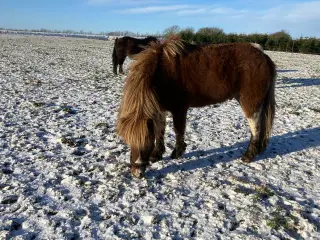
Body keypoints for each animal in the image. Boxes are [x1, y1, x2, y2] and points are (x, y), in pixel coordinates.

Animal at [116, 39, 276, 178]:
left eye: (146, 143)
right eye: (129, 142)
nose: (137, 174)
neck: (160, 71)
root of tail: (262, 54)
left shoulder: (179, 109)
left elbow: (178, 130)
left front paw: (177, 153)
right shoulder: (159, 109)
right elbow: (159, 130)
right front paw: (157, 154)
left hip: (250, 103)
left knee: (255, 127)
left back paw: (249, 155)